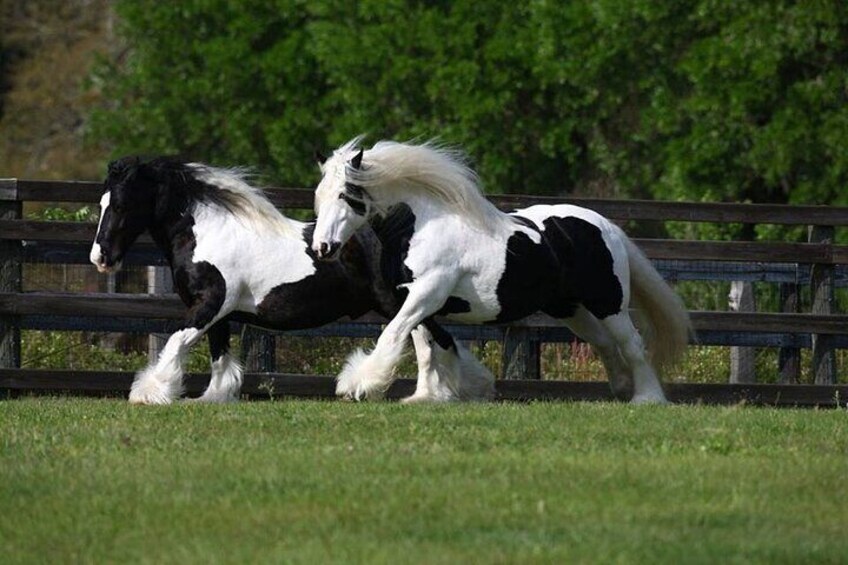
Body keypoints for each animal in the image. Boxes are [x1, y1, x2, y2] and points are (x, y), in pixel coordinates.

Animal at [89, 156, 494, 404]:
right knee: (436, 340)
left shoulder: (211, 304)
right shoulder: (216, 312)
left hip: (402, 302)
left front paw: (150, 392)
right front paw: (214, 397)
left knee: (427, 340)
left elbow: (176, 342)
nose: (100, 258)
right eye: (102, 203)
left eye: (121, 204)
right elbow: (219, 356)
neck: (207, 233)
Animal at [314, 137, 696, 404]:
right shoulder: (414, 301)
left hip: (608, 303)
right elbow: (427, 348)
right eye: (321, 194)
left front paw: (358, 385)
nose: (322, 248)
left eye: (347, 195)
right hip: (570, 309)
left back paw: (646, 398)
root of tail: (606, 226)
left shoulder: (428, 294)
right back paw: (621, 388)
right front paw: (428, 396)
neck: (421, 227)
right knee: (604, 343)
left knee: (632, 344)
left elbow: (392, 335)